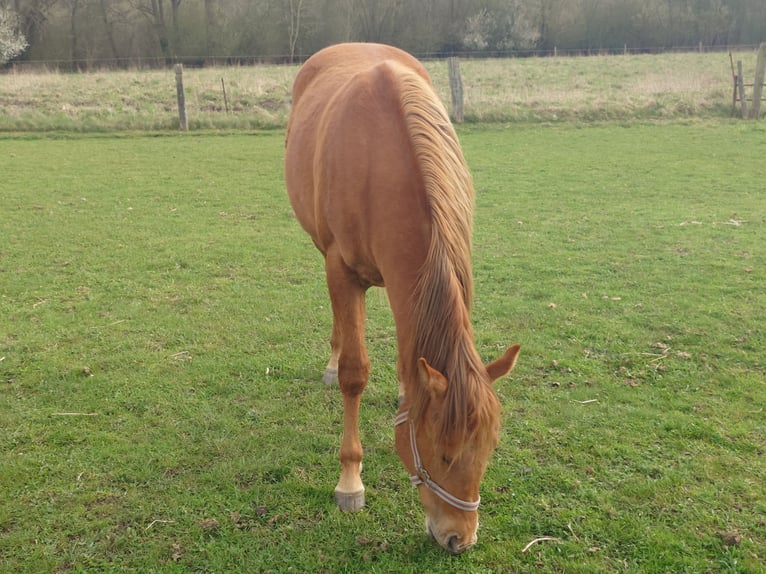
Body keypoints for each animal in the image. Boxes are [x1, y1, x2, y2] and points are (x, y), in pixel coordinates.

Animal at [284, 43, 520, 554]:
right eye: (444, 454)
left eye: (489, 449)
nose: (459, 539)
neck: (382, 161)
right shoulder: (341, 270)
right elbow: (355, 374)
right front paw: (349, 481)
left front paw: (404, 393)